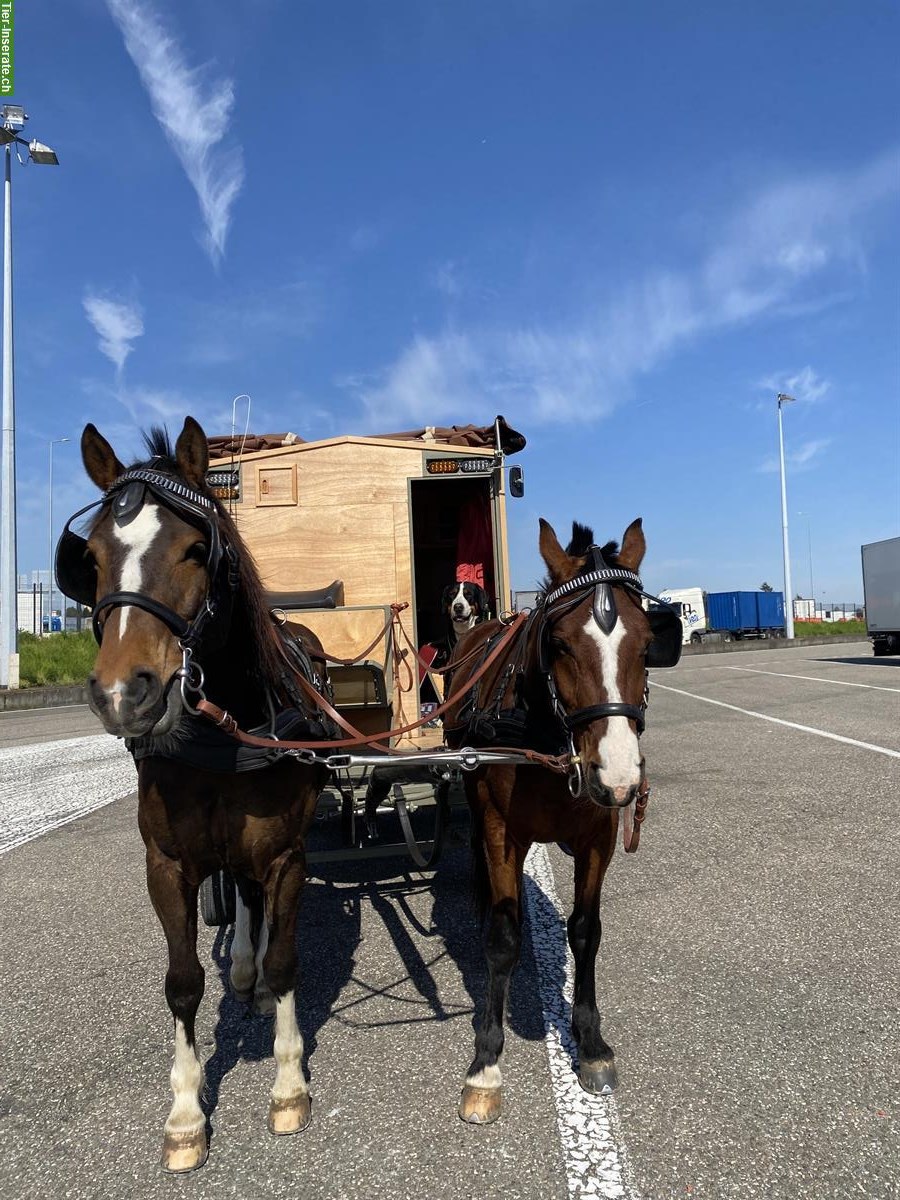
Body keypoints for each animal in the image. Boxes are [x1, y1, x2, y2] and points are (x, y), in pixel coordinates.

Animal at [55, 417, 333, 1172]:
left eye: (195, 549)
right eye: (90, 557)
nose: (123, 693)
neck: (224, 732)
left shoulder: (288, 855)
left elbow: (287, 958)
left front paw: (288, 1083)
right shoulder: (168, 864)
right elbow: (182, 981)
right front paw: (184, 1113)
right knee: (238, 900)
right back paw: (240, 972)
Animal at [443, 516, 681, 1123]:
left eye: (649, 644)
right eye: (558, 644)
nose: (618, 776)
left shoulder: (598, 836)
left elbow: (585, 931)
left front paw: (590, 1041)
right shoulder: (501, 831)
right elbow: (503, 938)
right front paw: (486, 1060)